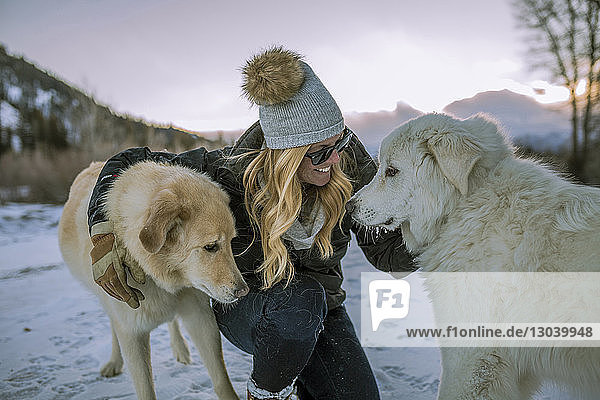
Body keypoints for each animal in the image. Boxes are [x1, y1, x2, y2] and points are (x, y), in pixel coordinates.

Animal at [59, 161, 248, 398]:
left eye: (232, 242)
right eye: (211, 246)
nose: (243, 291)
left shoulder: (200, 317)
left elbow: (221, 379)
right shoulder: (132, 334)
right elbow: (146, 390)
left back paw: (180, 348)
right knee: (113, 325)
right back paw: (114, 361)